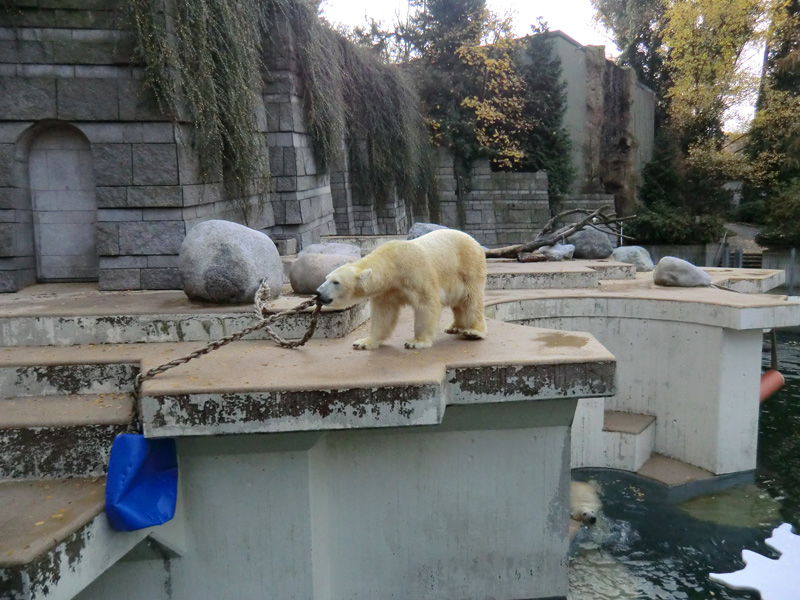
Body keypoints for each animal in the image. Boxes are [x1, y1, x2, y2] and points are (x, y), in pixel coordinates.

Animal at [314, 230, 488, 352]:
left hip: (468, 268)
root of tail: (475, 241)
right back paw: (455, 327)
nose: (318, 293)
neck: (393, 264)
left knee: (471, 300)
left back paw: (473, 331)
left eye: (336, 282)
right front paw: (363, 342)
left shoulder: (416, 273)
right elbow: (383, 314)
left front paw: (416, 342)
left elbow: (426, 304)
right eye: (326, 277)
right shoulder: (387, 290)